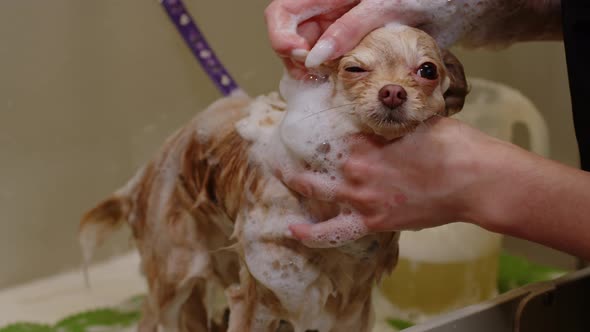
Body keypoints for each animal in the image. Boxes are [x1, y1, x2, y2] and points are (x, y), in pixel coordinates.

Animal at [80, 26, 468, 332]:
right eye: (355, 68)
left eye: (428, 70)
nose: (392, 92)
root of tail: (144, 173)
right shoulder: (261, 295)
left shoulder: (352, 302)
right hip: (174, 270)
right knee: (152, 312)